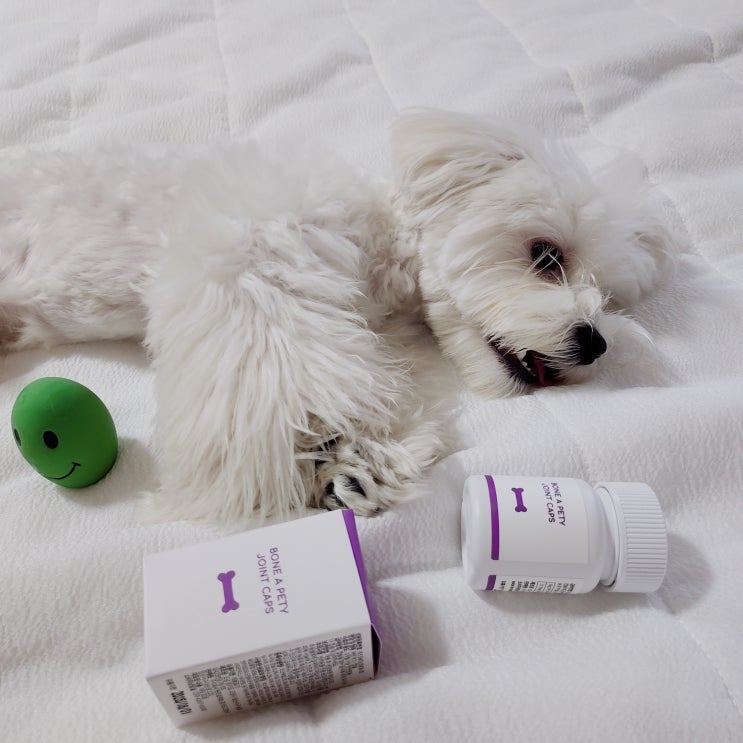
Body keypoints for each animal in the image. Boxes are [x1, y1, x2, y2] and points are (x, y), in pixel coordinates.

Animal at [0, 111, 674, 522]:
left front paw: (357, 465)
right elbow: (292, 373)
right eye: (546, 256)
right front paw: (317, 446)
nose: (595, 342)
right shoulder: (248, 263)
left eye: (610, 298)